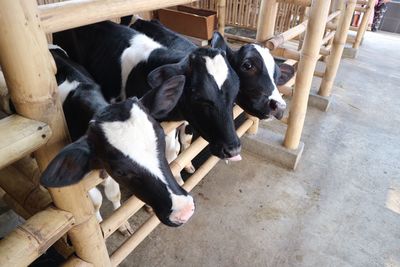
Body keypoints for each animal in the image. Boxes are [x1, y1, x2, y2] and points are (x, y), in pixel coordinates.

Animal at [41, 46, 195, 228]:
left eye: (162, 141)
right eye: (120, 171)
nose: (184, 210)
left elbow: (114, 194)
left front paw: (121, 224)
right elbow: (96, 202)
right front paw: (102, 223)